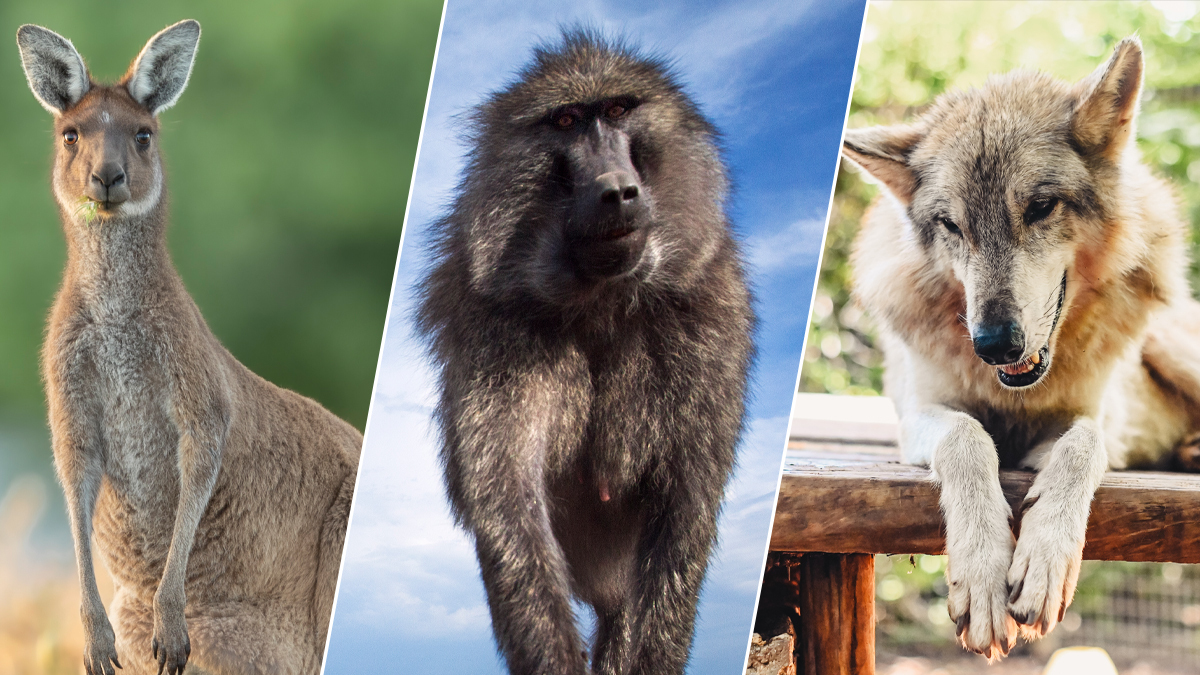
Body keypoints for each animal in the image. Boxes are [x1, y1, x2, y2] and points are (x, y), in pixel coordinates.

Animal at [841, 37, 1200, 659]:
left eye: (1039, 208)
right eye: (951, 225)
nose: (992, 344)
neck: (1016, 396)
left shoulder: (1095, 417)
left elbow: (1082, 446)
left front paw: (1044, 562)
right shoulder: (918, 415)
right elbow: (967, 438)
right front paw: (983, 575)